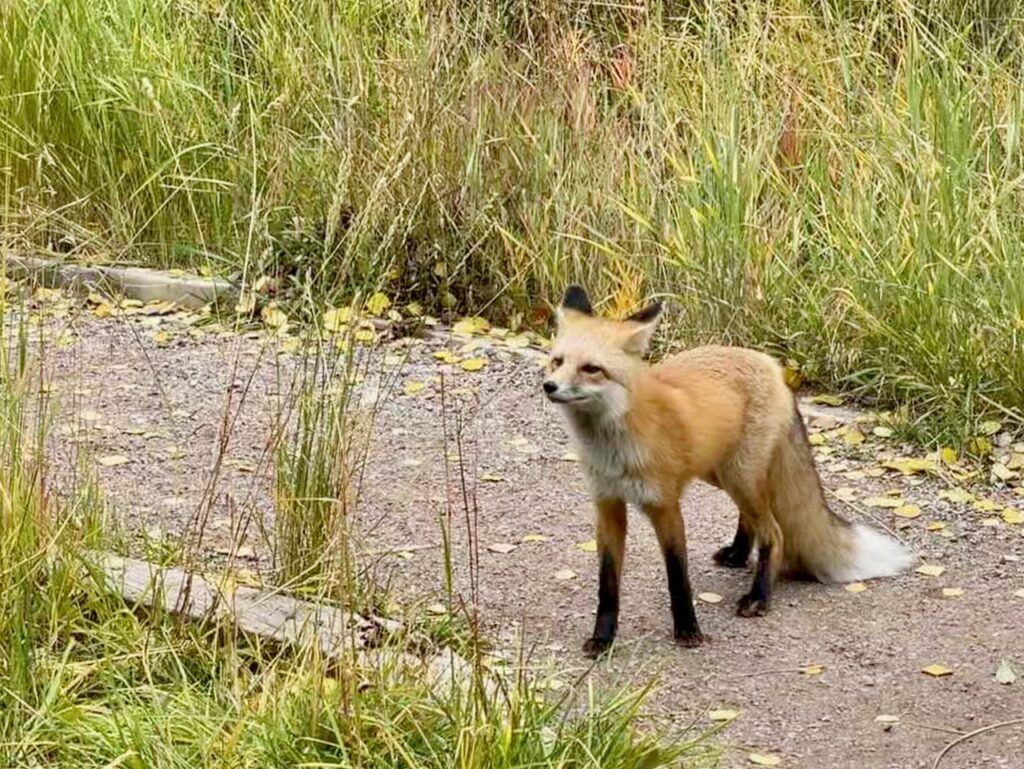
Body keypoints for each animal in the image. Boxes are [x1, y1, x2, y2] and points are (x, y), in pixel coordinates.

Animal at [544, 286, 913, 659]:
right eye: (557, 361)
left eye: (592, 369)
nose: (549, 386)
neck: (615, 448)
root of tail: (770, 364)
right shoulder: (607, 505)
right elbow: (607, 585)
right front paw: (603, 638)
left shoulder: (666, 506)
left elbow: (678, 577)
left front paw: (688, 630)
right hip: (721, 473)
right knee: (751, 517)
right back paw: (737, 553)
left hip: (740, 476)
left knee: (774, 532)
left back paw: (759, 596)